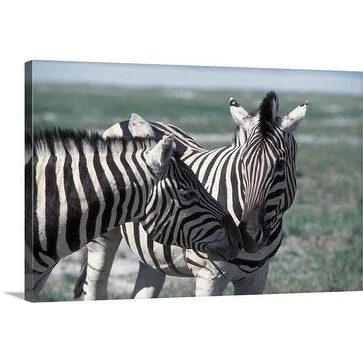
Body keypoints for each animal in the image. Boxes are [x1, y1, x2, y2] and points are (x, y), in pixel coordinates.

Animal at [75, 92, 308, 300]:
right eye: (242, 162)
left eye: (280, 164)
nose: (248, 237)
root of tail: (124, 121)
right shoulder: (210, 276)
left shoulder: (257, 277)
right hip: (102, 238)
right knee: (95, 288)